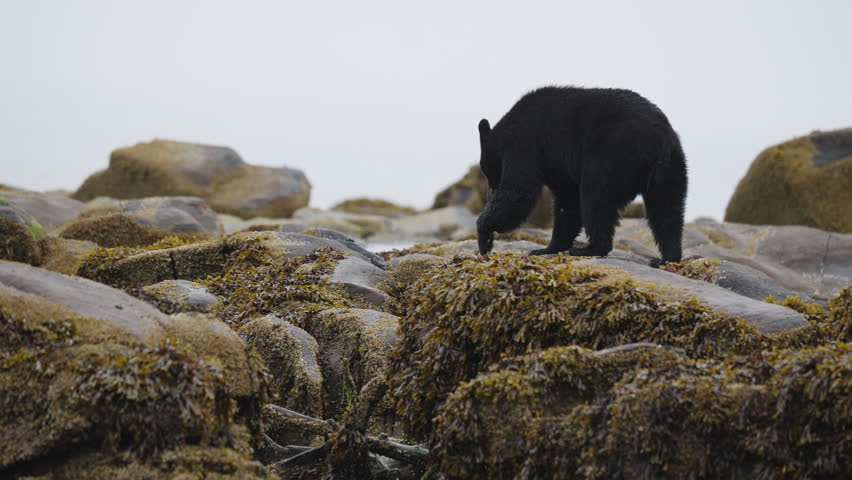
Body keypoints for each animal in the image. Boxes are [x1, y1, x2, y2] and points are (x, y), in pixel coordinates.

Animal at [476, 86, 687, 267]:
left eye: (487, 172)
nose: (489, 193)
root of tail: (659, 140)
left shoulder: (523, 144)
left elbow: (519, 190)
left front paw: (484, 238)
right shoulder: (559, 167)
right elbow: (567, 202)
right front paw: (547, 248)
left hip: (610, 156)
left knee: (596, 199)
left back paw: (589, 249)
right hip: (671, 168)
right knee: (667, 211)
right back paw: (667, 258)